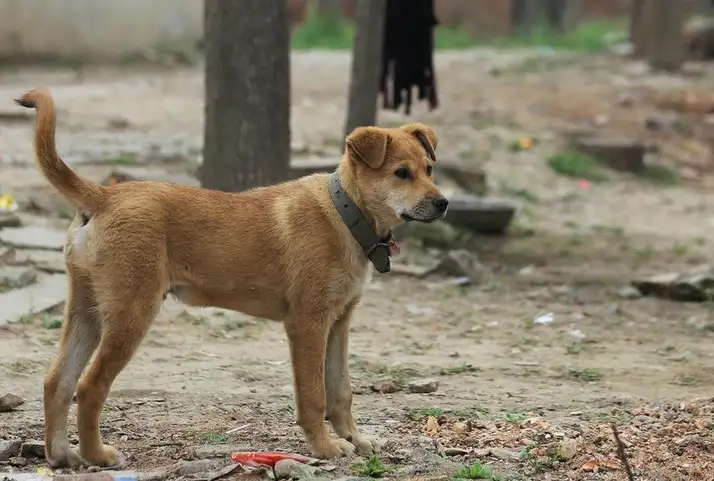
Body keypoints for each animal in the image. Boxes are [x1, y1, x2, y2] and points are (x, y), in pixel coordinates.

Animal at [15, 89, 444, 464]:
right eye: (401, 173)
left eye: (429, 169)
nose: (443, 203)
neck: (346, 214)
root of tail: (105, 195)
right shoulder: (307, 324)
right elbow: (314, 394)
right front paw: (323, 447)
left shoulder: (339, 323)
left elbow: (342, 391)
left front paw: (354, 439)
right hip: (130, 314)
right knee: (89, 387)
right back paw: (96, 455)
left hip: (86, 311)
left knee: (57, 381)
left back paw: (61, 455)